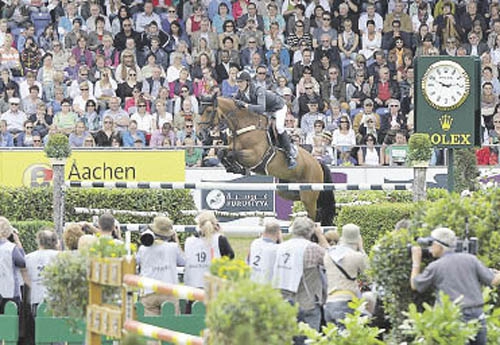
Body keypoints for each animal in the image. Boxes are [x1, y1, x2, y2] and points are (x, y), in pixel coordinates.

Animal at [197, 97, 334, 226]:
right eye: (199, 111)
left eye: (208, 111)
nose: (199, 134)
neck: (244, 126)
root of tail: (317, 163)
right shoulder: (230, 147)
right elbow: (221, 152)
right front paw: (234, 168)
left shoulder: (254, 156)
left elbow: (232, 154)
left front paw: (238, 168)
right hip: (286, 190)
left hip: (309, 193)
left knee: (313, 213)